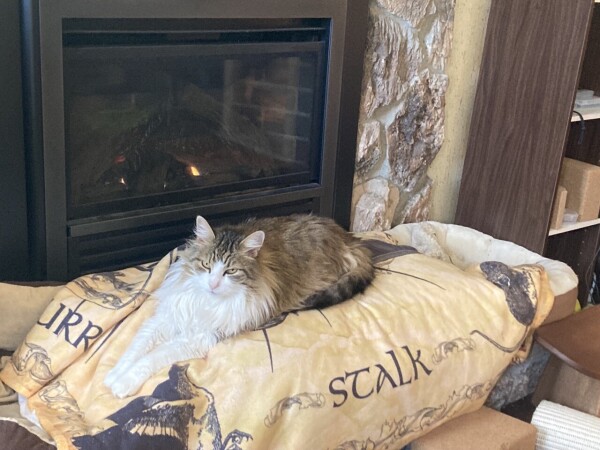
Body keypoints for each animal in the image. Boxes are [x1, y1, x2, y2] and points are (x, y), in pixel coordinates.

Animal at [105, 214, 372, 398]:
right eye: (206, 265)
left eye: (230, 271)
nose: (213, 283)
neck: (207, 301)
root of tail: (347, 237)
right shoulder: (167, 318)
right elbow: (137, 348)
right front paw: (114, 375)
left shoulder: (201, 337)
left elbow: (151, 358)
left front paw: (122, 383)